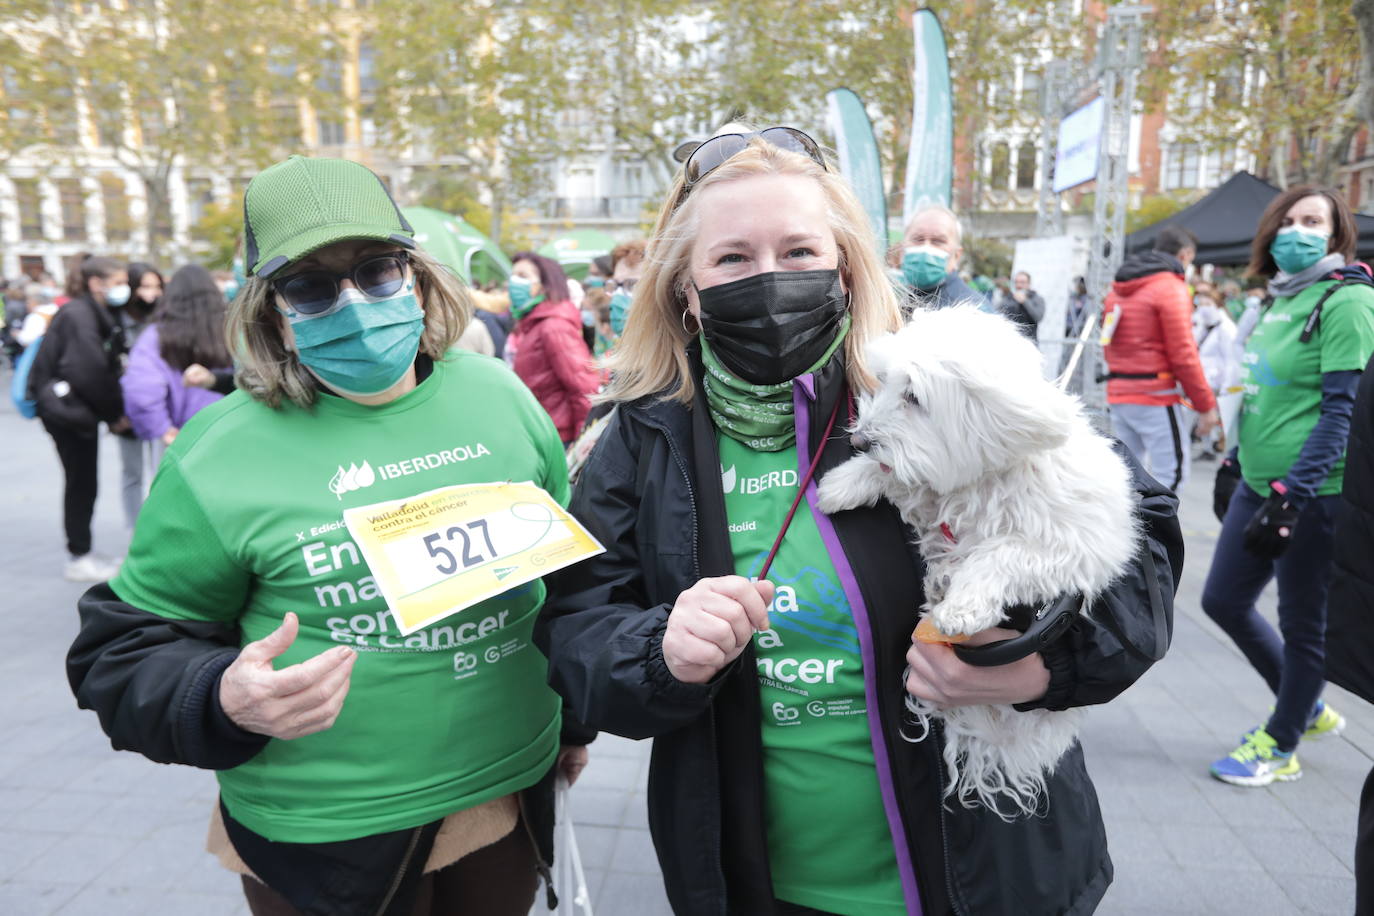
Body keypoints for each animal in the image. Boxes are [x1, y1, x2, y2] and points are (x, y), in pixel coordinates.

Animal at [813, 306, 1137, 818]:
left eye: (914, 396)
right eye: (883, 382)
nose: (861, 440)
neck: (987, 476)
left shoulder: (1077, 549)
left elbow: (1000, 553)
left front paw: (962, 609)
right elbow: (904, 480)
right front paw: (844, 483)